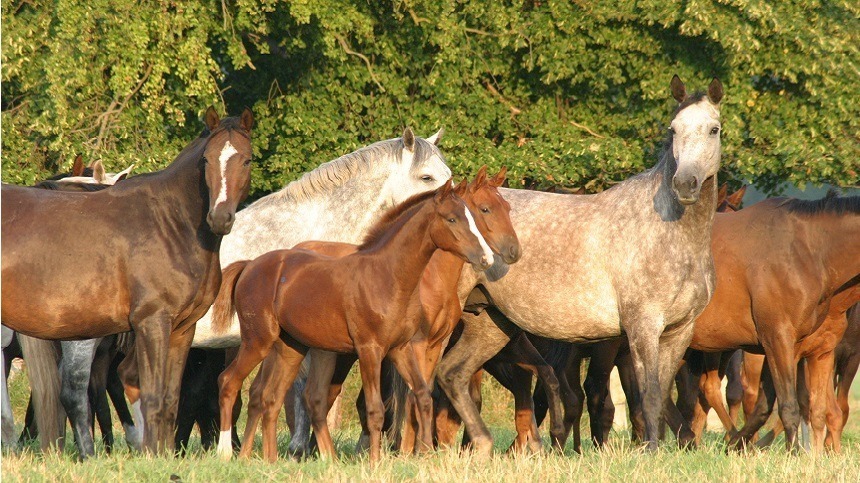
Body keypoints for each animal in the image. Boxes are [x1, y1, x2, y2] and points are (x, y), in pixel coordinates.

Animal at [0, 108, 255, 454]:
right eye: (206, 160)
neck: (170, 223)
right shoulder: (151, 323)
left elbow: (172, 400)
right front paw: (151, 455)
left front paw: (164, 455)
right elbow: (152, 396)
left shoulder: (182, 330)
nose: (219, 218)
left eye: (247, 160)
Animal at [434, 75, 724, 454]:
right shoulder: (642, 328)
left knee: (450, 374)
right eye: (673, 129)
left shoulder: (679, 331)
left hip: (490, 325)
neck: (669, 232)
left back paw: (482, 446)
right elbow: (648, 395)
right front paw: (649, 451)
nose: (685, 184)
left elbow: (660, 397)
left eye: (714, 129)